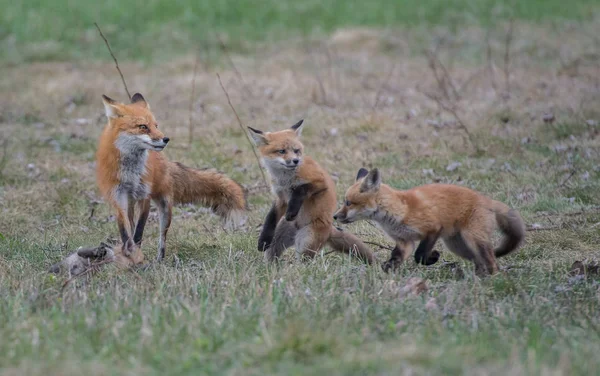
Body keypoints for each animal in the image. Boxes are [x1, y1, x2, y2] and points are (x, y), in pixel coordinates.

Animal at [96, 92, 246, 260]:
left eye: (156, 125)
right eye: (143, 127)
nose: (166, 139)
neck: (131, 172)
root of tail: (165, 161)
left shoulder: (144, 196)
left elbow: (139, 233)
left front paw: (138, 256)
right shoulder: (118, 198)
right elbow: (125, 233)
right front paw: (130, 254)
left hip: (165, 208)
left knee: (162, 238)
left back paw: (159, 260)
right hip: (131, 203)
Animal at [246, 122, 372, 262]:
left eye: (296, 150)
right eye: (282, 151)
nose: (295, 160)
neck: (285, 179)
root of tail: (330, 228)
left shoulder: (321, 182)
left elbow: (300, 189)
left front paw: (292, 211)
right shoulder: (281, 198)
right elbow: (271, 218)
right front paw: (263, 239)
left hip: (306, 243)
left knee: (304, 262)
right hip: (279, 238)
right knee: (272, 254)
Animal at [332, 169, 524, 274]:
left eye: (348, 203)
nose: (334, 216)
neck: (398, 211)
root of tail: (487, 200)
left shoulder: (432, 229)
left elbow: (420, 255)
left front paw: (433, 257)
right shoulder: (404, 241)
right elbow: (395, 259)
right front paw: (387, 273)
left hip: (473, 239)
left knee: (492, 262)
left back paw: (490, 280)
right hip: (458, 246)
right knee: (480, 261)